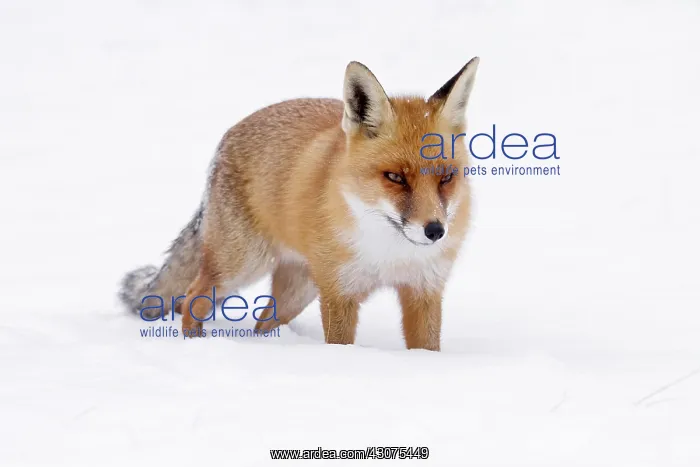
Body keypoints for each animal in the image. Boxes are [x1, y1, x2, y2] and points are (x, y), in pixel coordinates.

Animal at [119, 57, 480, 351]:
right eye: (395, 177)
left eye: (446, 178)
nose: (435, 231)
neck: (389, 253)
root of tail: (226, 139)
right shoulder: (339, 293)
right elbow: (340, 344)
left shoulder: (424, 290)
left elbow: (427, 347)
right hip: (241, 267)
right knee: (192, 298)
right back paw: (195, 345)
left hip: (296, 293)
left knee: (261, 322)